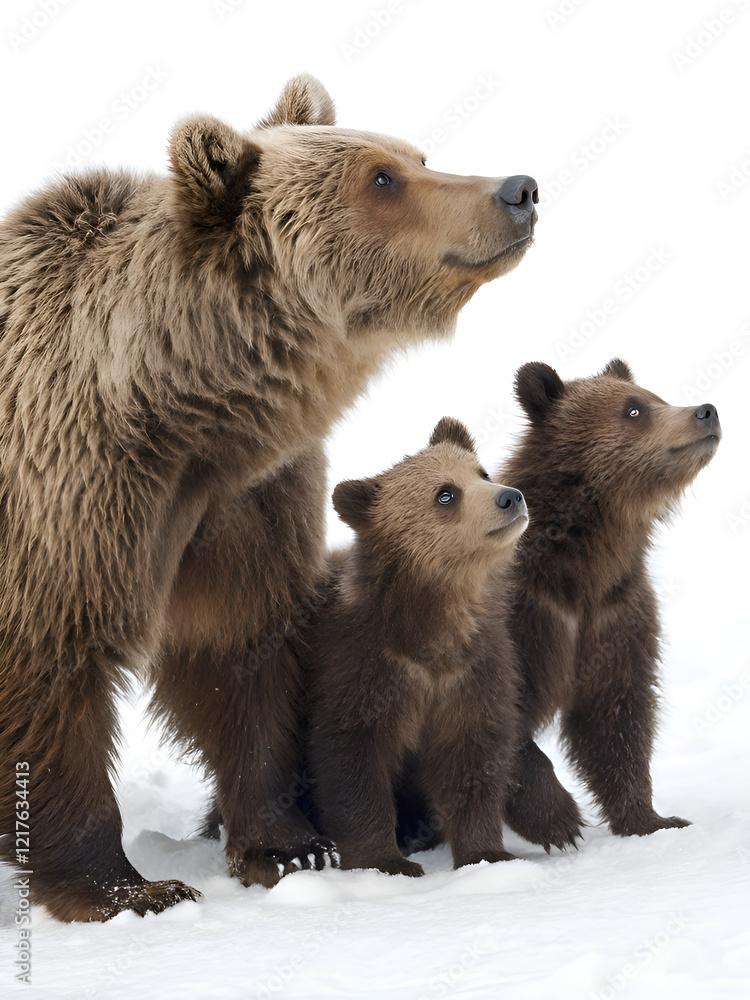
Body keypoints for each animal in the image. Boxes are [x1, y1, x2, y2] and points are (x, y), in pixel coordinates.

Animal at [303, 417, 539, 876]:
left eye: (482, 472)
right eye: (445, 493)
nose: (510, 496)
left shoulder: (474, 670)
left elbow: (473, 755)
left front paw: (488, 854)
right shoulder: (362, 668)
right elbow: (353, 762)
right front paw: (385, 860)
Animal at [499, 358, 721, 838]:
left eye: (655, 397)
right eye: (634, 409)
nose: (706, 411)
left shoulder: (614, 611)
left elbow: (615, 714)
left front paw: (654, 819)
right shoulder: (522, 612)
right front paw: (557, 818)